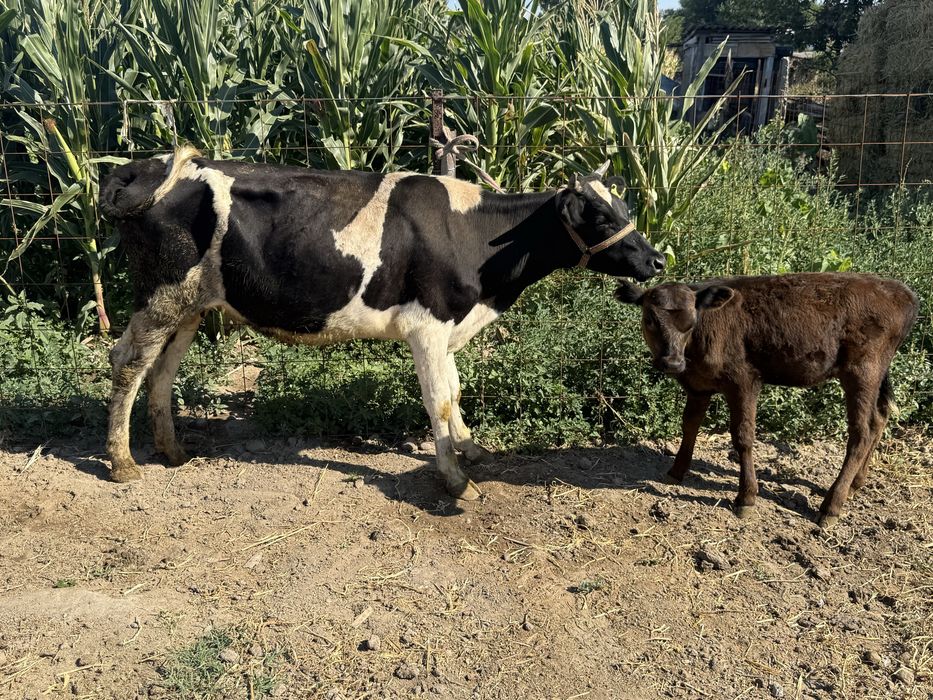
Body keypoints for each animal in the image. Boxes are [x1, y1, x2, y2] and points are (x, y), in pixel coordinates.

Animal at [99, 147, 665, 500]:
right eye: (599, 216)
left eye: (624, 206)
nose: (657, 260)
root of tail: (145, 167)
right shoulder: (427, 324)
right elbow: (439, 399)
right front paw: (454, 478)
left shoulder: (448, 325)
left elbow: (455, 390)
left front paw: (471, 448)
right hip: (162, 294)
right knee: (127, 361)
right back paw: (122, 463)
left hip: (191, 304)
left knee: (160, 370)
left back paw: (173, 451)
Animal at [615, 273, 918, 528]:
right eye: (650, 320)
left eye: (691, 321)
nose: (672, 362)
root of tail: (902, 292)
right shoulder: (698, 386)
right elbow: (689, 425)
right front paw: (676, 471)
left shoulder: (744, 380)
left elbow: (743, 436)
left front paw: (746, 498)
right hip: (874, 374)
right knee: (879, 418)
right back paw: (856, 484)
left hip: (862, 370)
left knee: (861, 432)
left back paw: (831, 506)